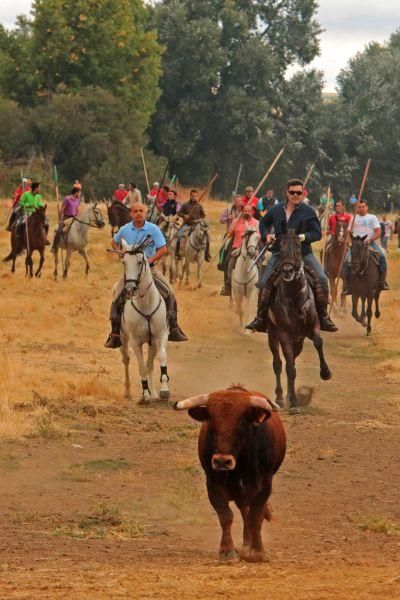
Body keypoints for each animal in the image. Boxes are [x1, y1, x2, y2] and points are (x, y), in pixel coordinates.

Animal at [118, 238, 170, 404]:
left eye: (140, 262)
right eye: (124, 262)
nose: (130, 289)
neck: (146, 304)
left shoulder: (160, 335)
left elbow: (161, 357)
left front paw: (163, 391)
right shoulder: (135, 341)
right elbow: (141, 367)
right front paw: (145, 395)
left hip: (152, 342)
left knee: (150, 364)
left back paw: (154, 393)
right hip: (122, 338)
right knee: (126, 360)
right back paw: (128, 391)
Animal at [174, 384, 284, 564]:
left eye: (241, 421)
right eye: (211, 420)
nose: (222, 461)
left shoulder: (264, 486)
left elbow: (256, 517)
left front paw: (257, 551)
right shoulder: (213, 485)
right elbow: (226, 516)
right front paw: (226, 551)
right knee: (244, 512)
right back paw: (245, 546)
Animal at [268, 227, 332, 414]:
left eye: (298, 248)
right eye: (281, 248)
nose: (288, 271)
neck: (294, 297)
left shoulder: (311, 327)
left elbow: (318, 342)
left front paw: (325, 372)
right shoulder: (284, 334)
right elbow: (288, 367)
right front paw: (295, 403)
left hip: (299, 340)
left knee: (293, 361)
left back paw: (289, 395)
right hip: (273, 335)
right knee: (278, 363)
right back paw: (281, 397)